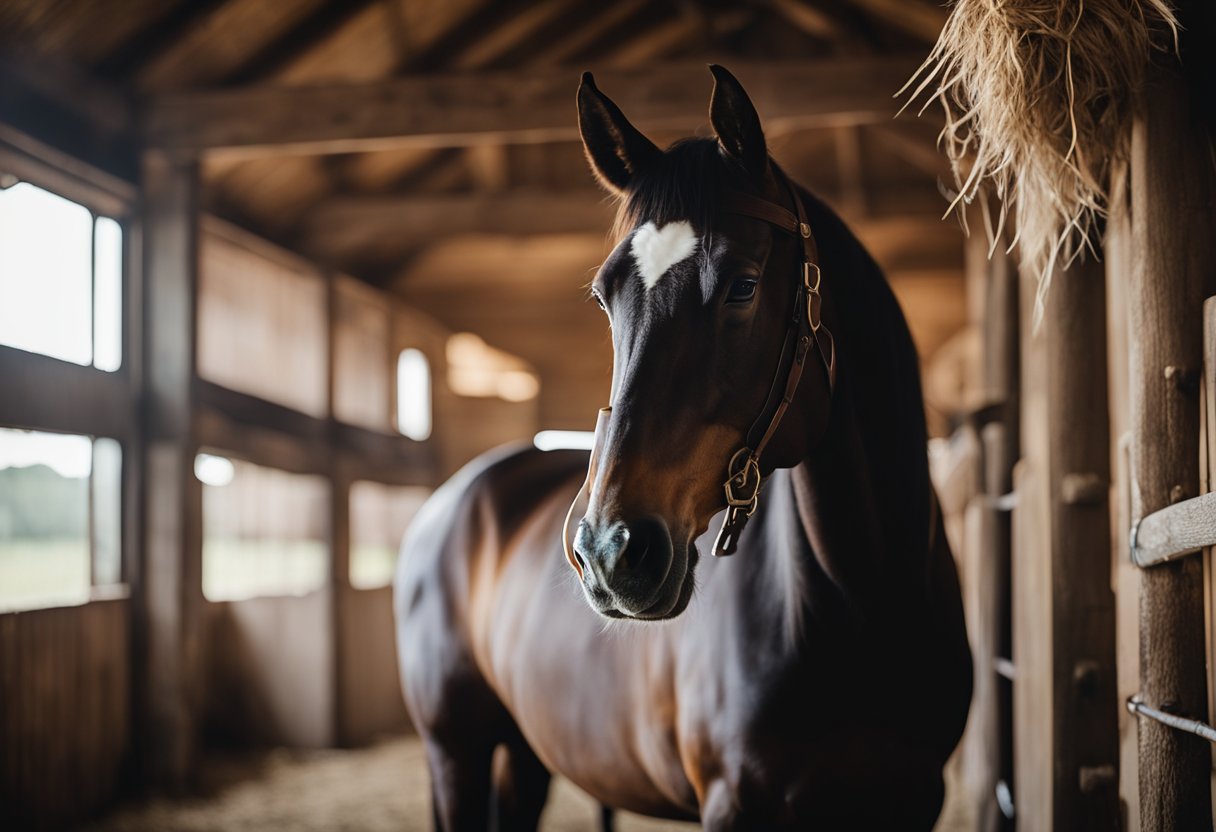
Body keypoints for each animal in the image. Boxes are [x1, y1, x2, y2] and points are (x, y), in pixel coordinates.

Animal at [394, 65, 972, 830]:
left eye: (744, 286)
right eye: (604, 296)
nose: (611, 553)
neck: (863, 599)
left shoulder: (912, 798)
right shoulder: (734, 802)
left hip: (522, 755)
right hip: (454, 754)